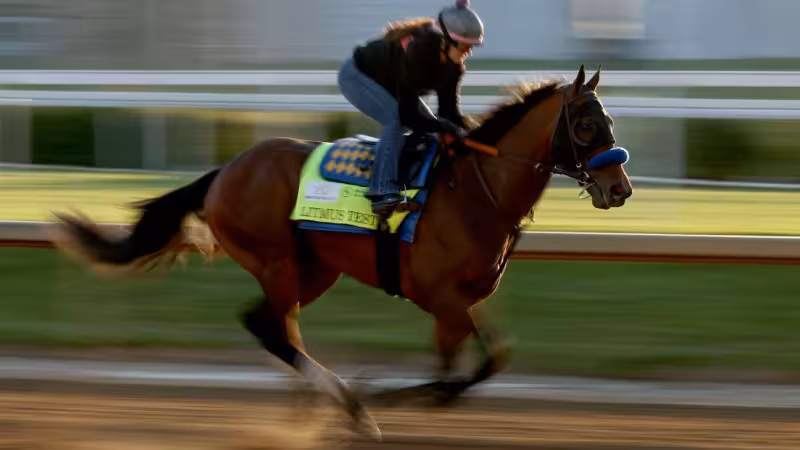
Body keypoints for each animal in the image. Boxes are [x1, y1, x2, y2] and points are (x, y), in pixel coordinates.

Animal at [52, 65, 632, 441]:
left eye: (610, 122)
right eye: (585, 125)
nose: (619, 188)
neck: (475, 189)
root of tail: (226, 169)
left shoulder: (463, 298)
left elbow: (489, 360)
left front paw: (407, 396)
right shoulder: (441, 298)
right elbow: (459, 370)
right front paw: (379, 396)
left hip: (313, 269)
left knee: (274, 327)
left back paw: (318, 405)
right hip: (277, 261)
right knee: (274, 330)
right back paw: (348, 405)